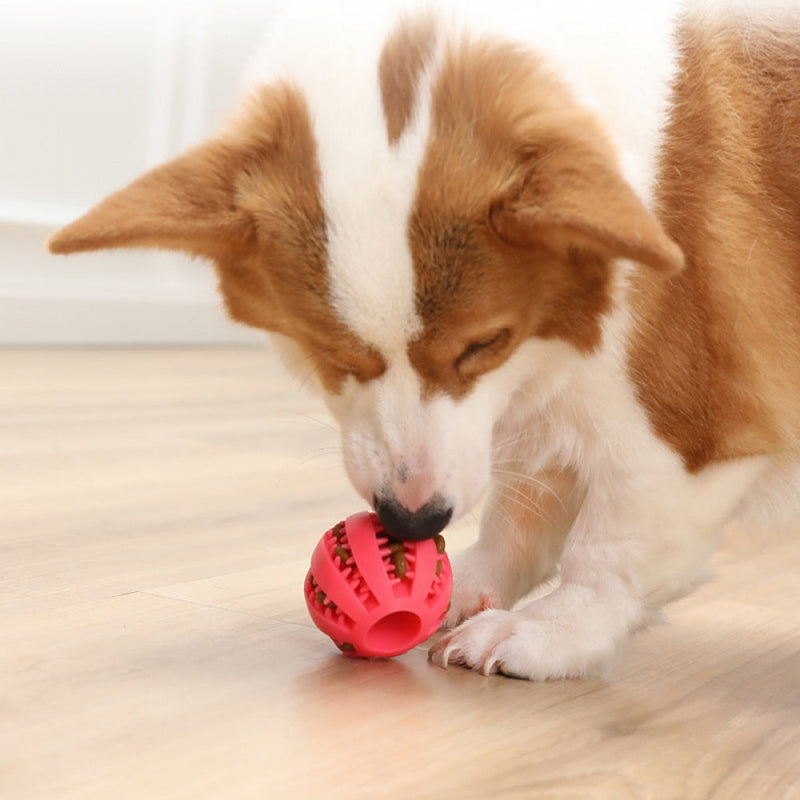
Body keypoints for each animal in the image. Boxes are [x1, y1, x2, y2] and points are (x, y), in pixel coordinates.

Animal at [48, 1, 800, 680]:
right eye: (330, 353)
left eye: (483, 344)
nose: (410, 524)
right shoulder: (548, 407)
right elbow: (519, 514)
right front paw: (467, 584)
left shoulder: (689, 435)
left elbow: (612, 543)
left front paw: (545, 632)